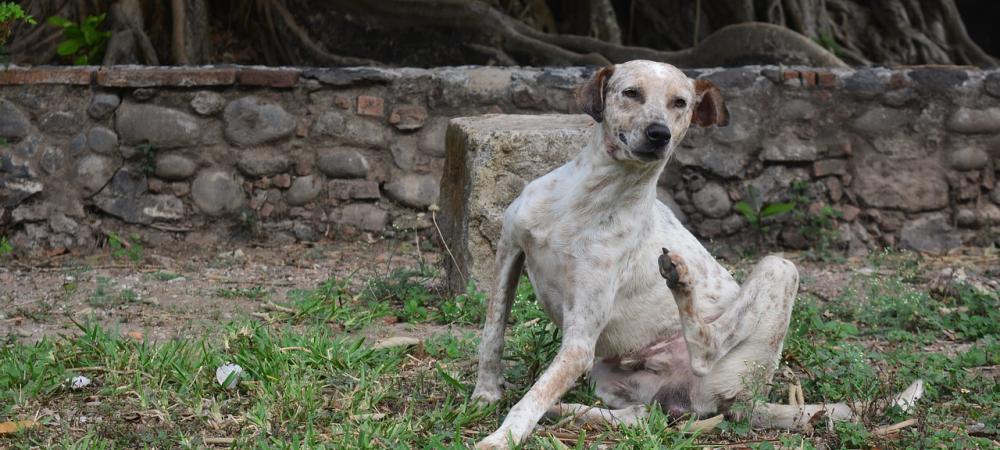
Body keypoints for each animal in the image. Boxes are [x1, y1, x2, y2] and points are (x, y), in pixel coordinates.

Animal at [468, 60, 920, 450]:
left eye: (679, 103)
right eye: (631, 93)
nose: (658, 134)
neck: (589, 199)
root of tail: (748, 401)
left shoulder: (580, 343)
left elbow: (531, 397)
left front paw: (501, 438)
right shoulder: (509, 250)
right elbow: (492, 333)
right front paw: (485, 394)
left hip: (778, 270)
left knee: (706, 347)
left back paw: (681, 281)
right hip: (610, 380)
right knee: (640, 416)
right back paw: (567, 411)